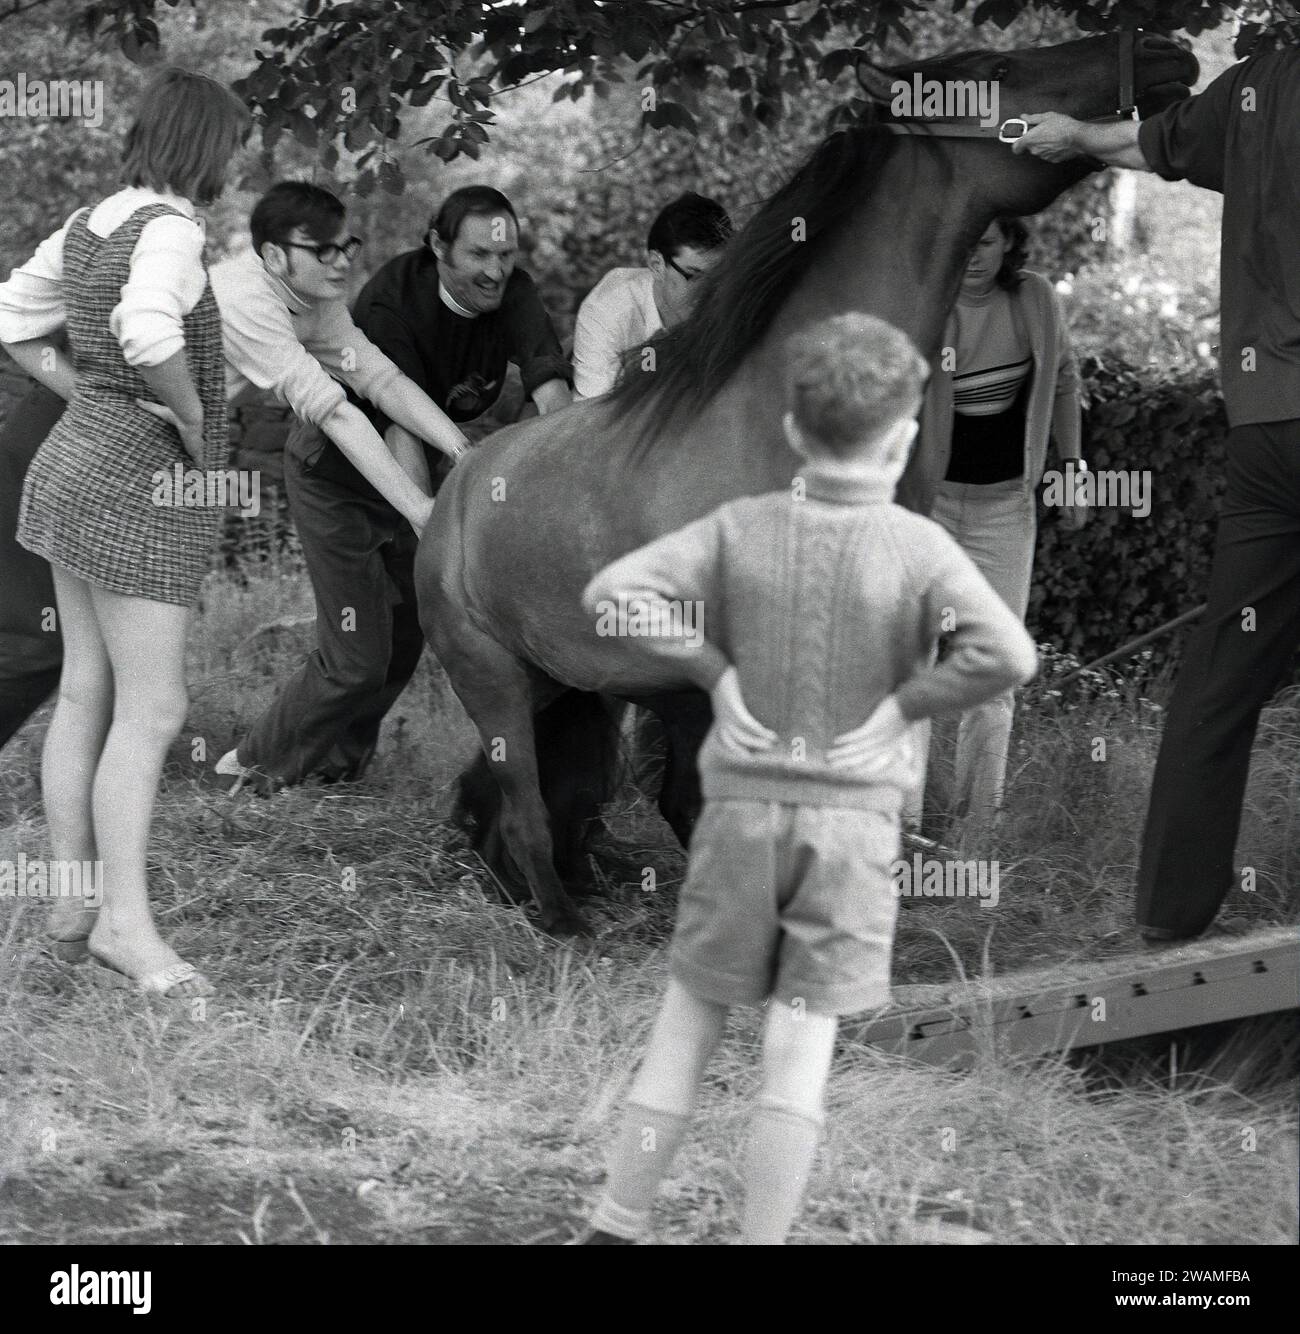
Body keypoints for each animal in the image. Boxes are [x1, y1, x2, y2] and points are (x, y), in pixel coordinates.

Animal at [418, 28, 1200, 928]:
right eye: (1000, 71)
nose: (1166, 50)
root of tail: (457, 490)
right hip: (497, 682)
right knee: (523, 803)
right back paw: (563, 917)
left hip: (575, 684)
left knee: (512, 805)